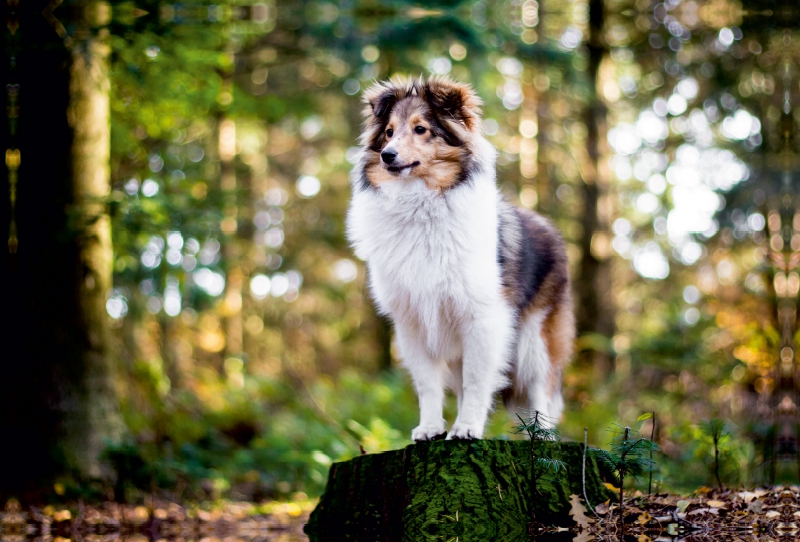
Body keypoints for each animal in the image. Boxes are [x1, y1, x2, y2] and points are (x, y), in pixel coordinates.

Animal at [346, 76, 572, 442]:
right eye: (389, 132)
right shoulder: (411, 322)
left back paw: (542, 436)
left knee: (541, 386)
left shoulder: (483, 317)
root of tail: (549, 226)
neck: (420, 205)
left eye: (421, 129)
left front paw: (468, 427)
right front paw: (431, 427)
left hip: (534, 338)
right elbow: (427, 383)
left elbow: (478, 381)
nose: (387, 155)